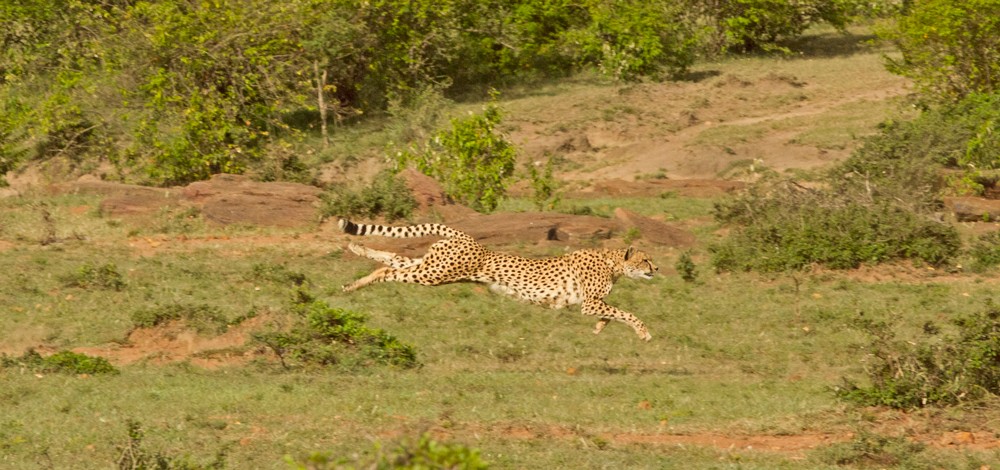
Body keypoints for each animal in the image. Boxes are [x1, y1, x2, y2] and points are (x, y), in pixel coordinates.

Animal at [340, 218, 660, 340]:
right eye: (645, 259)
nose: (656, 268)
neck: (612, 262)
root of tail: (467, 238)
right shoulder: (588, 302)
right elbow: (626, 313)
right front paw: (643, 332)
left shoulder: (594, 302)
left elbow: (612, 313)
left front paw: (599, 327)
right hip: (435, 273)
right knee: (391, 272)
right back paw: (355, 277)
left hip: (432, 266)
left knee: (389, 264)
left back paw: (354, 264)